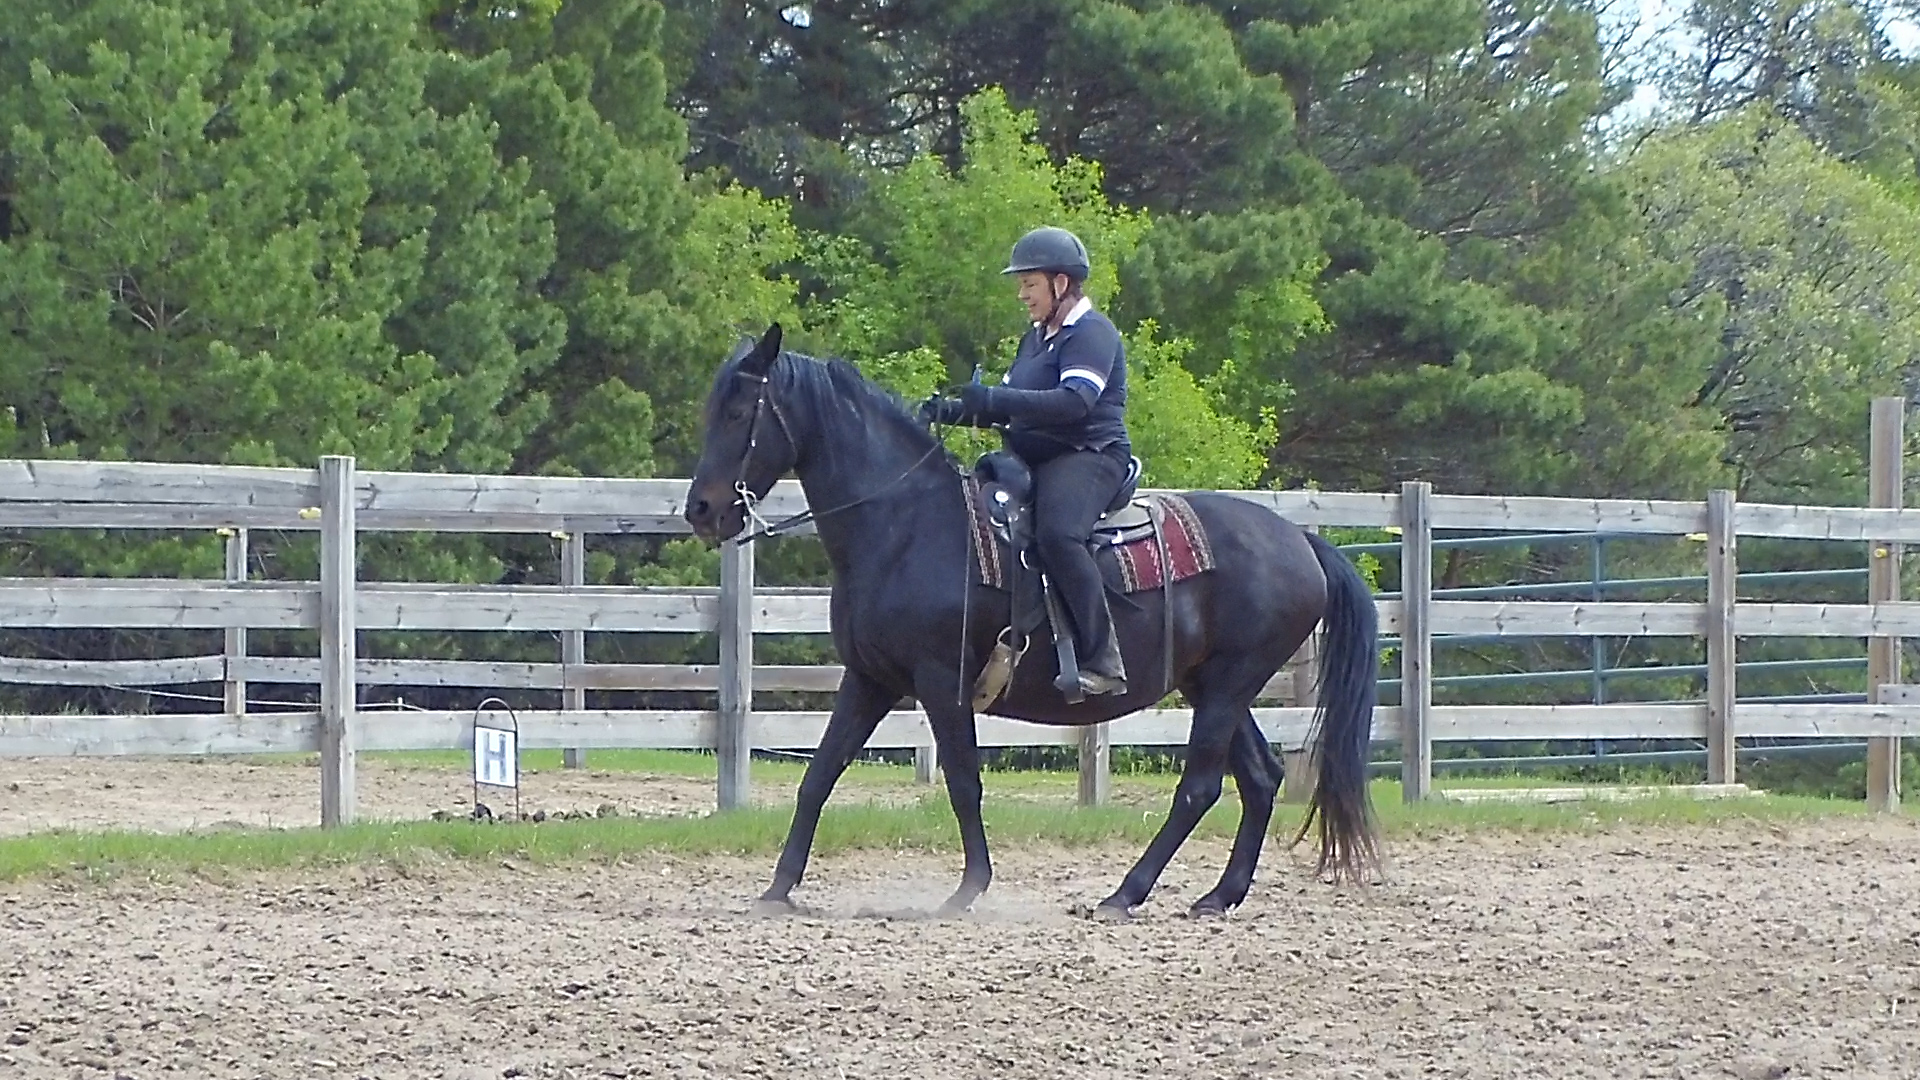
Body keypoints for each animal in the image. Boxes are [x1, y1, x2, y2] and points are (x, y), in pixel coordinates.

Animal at [682, 324, 1382, 918]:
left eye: (740, 413)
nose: (702, 510)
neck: (907, 524)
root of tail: (1300, 541)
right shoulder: (869, 679)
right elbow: (818, 777)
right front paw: (777, 889)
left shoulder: (940, 681)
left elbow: (963, 781)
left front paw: (969, 889)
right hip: (1209, 684)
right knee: (1260, 779)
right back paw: (1218, 895)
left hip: (1231, 683)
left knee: (1200, 787)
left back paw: (1125, 894)